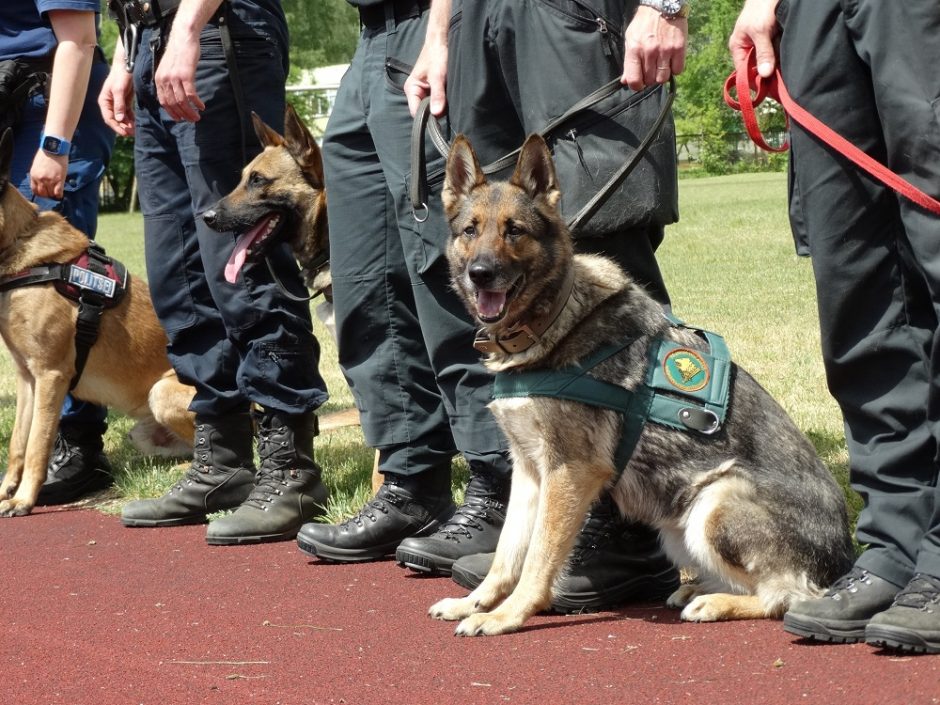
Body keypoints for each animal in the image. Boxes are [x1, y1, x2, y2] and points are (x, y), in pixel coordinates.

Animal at [0, 128, 195, 516]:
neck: (20, 246)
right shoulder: (27, 378)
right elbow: (17, 444)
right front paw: (5, 491)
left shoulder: (51, 376)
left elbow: (36, 447)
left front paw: (24, 499)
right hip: (141, 430)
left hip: (162, 391)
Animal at [430, 133, 856, 640]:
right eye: (470, 231)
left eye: (514, 231)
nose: (480, 273)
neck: (556, 317)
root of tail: (845, 559)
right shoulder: (530, 471)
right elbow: (507, 554)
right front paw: (474, 603)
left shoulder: (569, 472)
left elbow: (538, 558)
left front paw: (507, 615)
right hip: (678, 525)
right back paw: (697, 589)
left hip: (715, 501)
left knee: (785, 597)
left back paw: (715, 602)